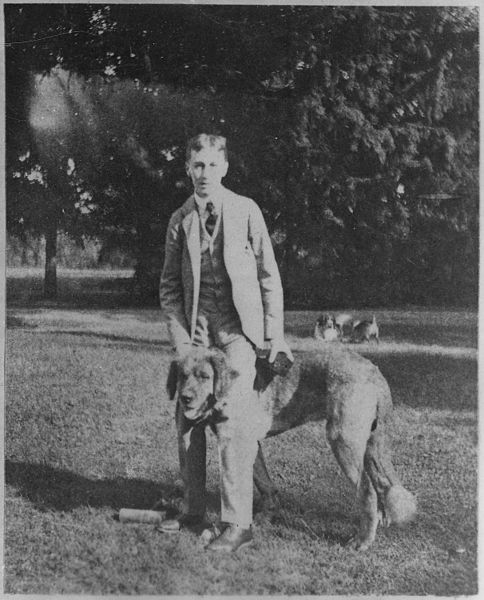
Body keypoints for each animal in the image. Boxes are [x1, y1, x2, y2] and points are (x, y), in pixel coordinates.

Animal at [167, 346, 416, 548]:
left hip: (343, 441)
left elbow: (235, 493)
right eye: (182, 375)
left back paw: (362, 540)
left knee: (367, 489)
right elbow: (263, 482)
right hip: (372, 444)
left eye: (204, 376)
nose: (185, 398)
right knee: (383, 483)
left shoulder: (234, 445)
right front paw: (263, 518)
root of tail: (373, 370)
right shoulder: (251, 445)